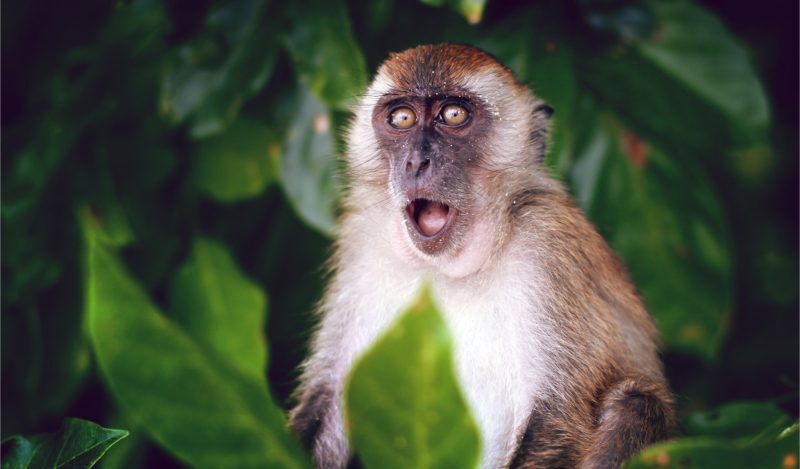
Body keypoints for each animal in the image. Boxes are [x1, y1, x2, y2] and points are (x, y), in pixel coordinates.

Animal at [289, 44, 674, 468]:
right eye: (402, 117)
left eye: (453, 115)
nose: (416, 162)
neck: (447, 269)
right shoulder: (363, 243)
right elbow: (329, 402)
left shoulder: (548, 245)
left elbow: (558, 416)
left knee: (635, 404)